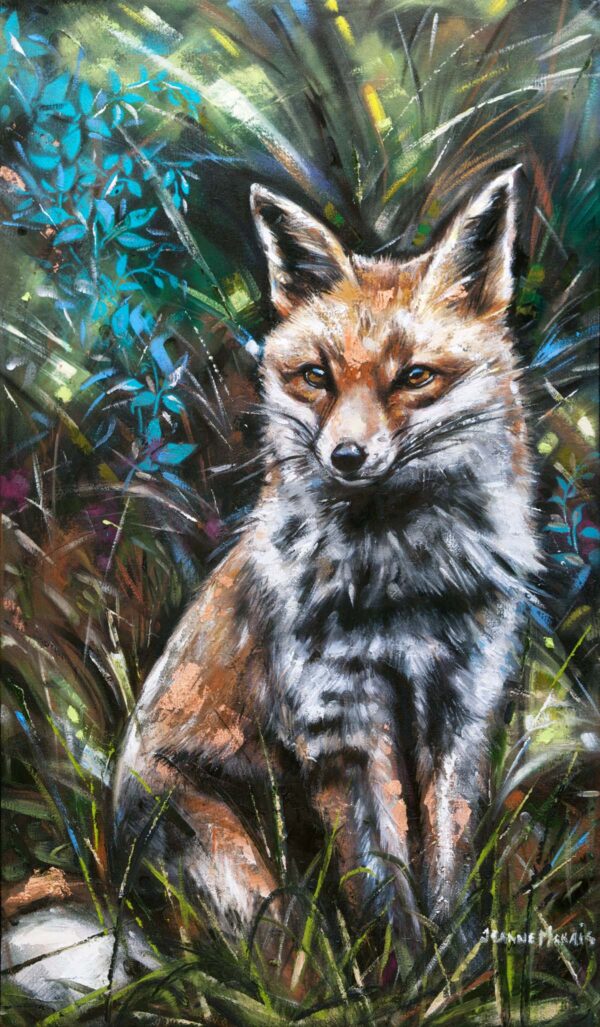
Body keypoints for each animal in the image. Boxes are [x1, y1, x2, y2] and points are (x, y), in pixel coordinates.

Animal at [113, 167, 539, 961]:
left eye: (414, 377)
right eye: (316, 375)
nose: (345, 456)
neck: (405, 586)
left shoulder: (462, 707)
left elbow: (445, 860)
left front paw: (456, 961)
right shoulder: (341, 723)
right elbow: (382, 878)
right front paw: (408, 971)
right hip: (248, 873)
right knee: (282, 949)